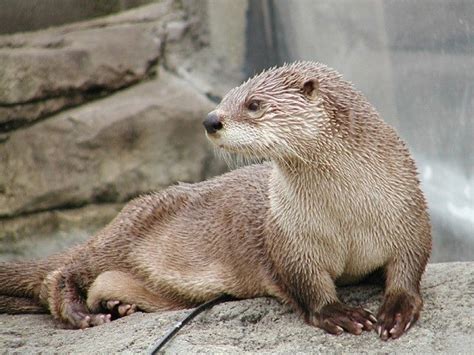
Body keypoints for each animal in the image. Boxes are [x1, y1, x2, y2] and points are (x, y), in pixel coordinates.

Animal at [0, 62, 430, 340]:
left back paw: (119, 308)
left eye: (254, 104)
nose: (211, 119)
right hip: (119, 237)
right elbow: (305, 283)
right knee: (60, 273)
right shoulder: (289, 237)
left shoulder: (409, 213)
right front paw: (339, 314)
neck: (347, 213)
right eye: (223, 99)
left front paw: (396, 311)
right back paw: (82, 315)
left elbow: (410, 267)